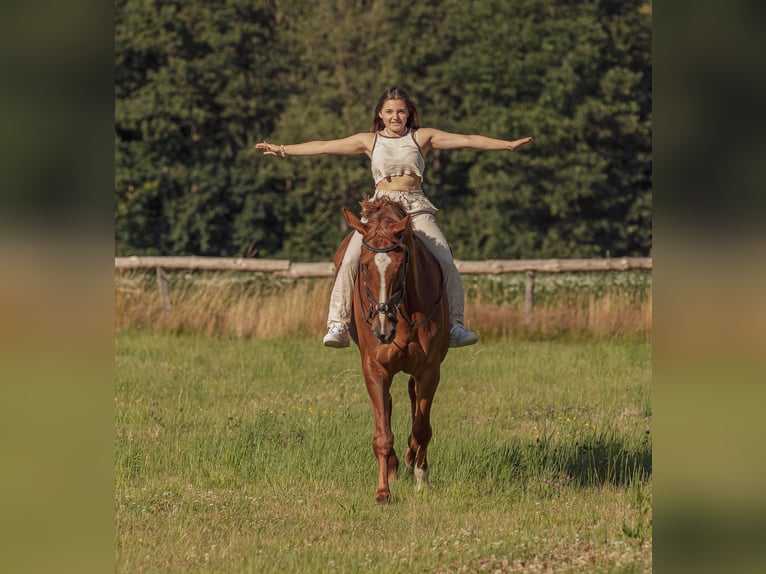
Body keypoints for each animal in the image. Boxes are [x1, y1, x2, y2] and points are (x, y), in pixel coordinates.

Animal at [334, 198, 452, 504]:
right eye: (363, 266)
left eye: (400, 265)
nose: (382, 328)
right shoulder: (374, 368)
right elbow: (382, 435)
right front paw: (383, 491)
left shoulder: (429, 370)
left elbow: (422, 428)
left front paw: (422, 479)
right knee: (387, 404)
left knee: (412, 400)